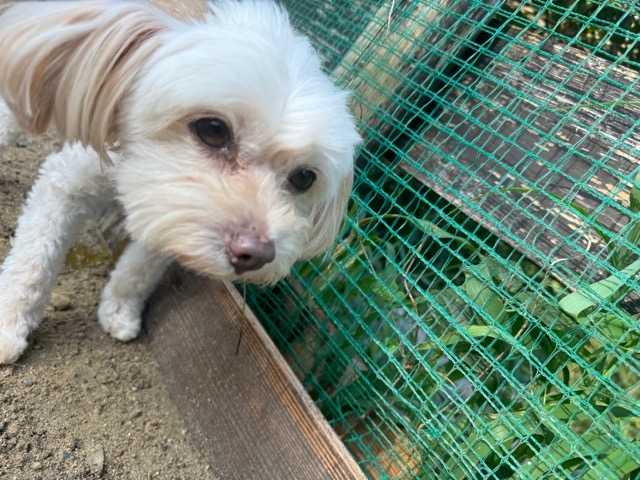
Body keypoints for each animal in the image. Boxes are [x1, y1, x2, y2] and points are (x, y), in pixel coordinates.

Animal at [0, 0, 359, 364]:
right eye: (213, 129)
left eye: (303, 177)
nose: (255, 254)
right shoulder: (65, 184)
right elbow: (34, 261)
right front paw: (8, 324)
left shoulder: (172, 211)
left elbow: (139, 271)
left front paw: (119, 310)